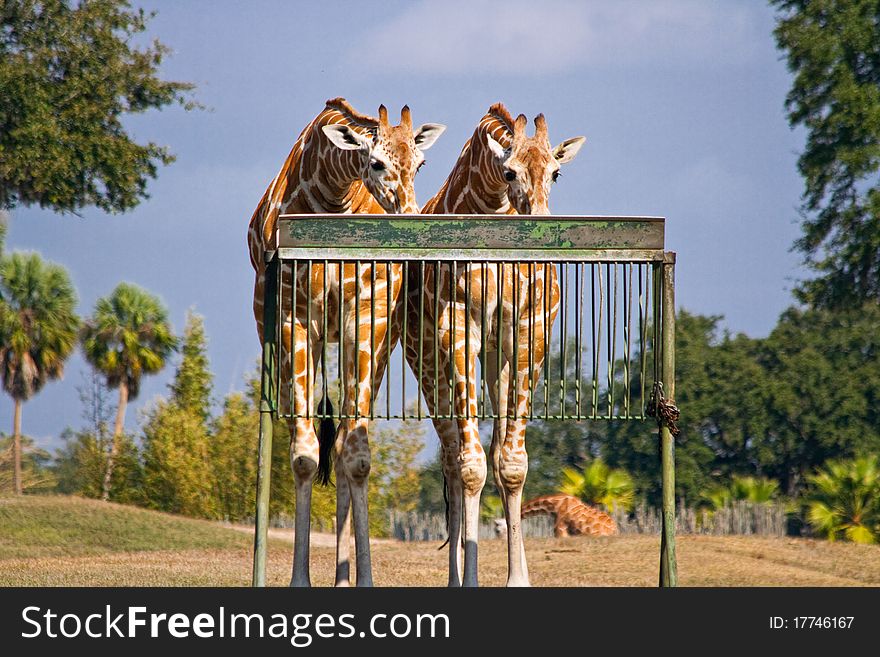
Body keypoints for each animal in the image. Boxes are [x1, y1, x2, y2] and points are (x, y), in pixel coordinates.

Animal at [248, 96, 444, 584]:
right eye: (375, 163)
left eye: (421, 162)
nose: (411, 221)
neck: (329, 196)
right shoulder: (294, 319)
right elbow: (303, 455)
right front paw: (299, 579)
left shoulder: (367, 317)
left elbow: (356, 456)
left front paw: (363, 578)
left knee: (340, 447)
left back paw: (343, 577)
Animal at [404, 105, 584, 588]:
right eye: (508, 172)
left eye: (557, 172)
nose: (539, 230)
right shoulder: (457, 329)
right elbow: (470, 465)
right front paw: (468, 579)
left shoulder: (528, 332)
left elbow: (512, 463)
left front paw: (517, 579)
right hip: (423, 355)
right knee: (451, 458)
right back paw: (453, 577)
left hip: (493, 361)